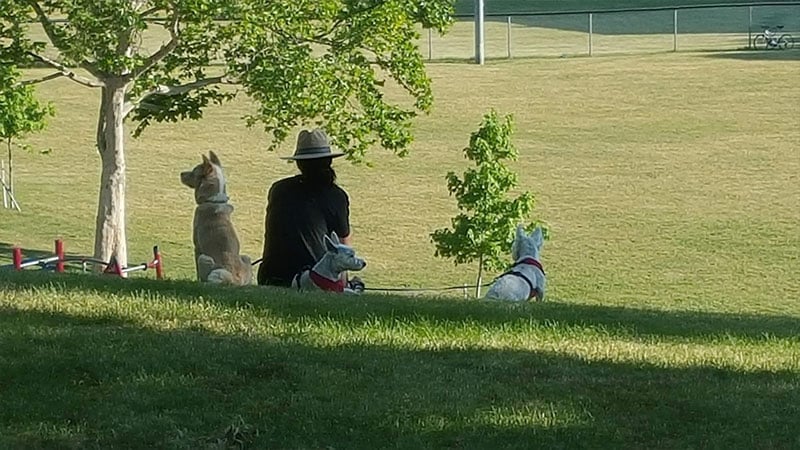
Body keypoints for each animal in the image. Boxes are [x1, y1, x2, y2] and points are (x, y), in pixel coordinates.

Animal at [180, 151, 252, 284]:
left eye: (194, 171)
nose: (181, 173)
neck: (213, 199)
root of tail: (234, 279)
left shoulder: (197, 247)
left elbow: (197, 273)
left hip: (204, 259)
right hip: (246, 257)